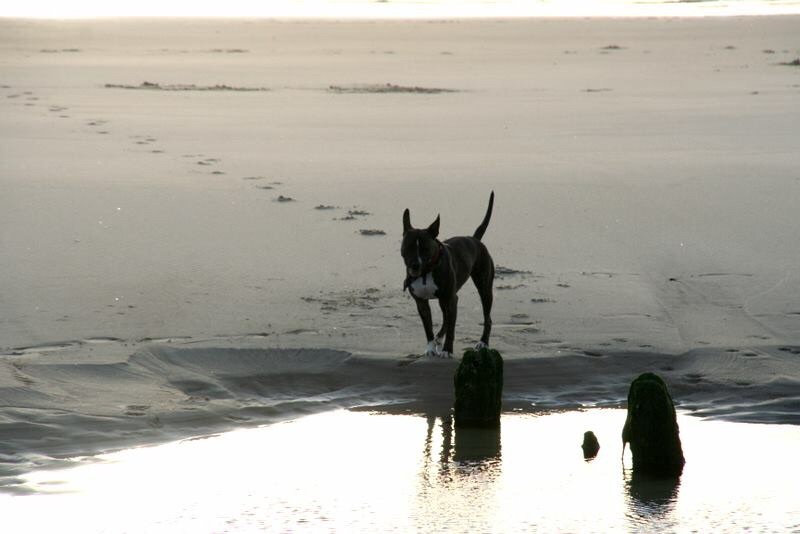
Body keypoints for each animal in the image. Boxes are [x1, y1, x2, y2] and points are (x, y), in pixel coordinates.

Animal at [400, 192, 494, 360]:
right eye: (408, 247)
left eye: (425, 249)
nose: (415, 265)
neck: (426, 271)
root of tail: (474, 239)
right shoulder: (422, 303)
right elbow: (428, 328)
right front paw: (430, 349)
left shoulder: (451, 299)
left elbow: (451, 328)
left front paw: (447, 350)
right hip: (444, 299)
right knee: (445, 318)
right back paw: (439, 338)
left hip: (484, 289)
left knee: (487, 318)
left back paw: (483, 342)